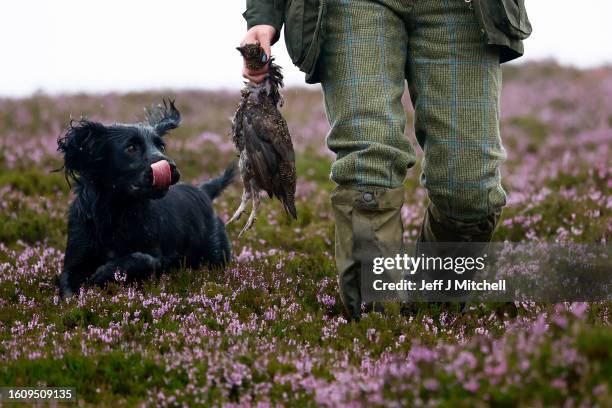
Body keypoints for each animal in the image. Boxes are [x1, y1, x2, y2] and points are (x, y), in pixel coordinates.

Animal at [57, 99, 234, 296]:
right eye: (131, 148)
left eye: (161, 146)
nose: (171, 167)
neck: (116, 212)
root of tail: (203, 191)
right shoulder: (74, 261)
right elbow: (69, 289)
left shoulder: (157, 258)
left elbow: (140, 259)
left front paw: (103, 274)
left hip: (216, 254)